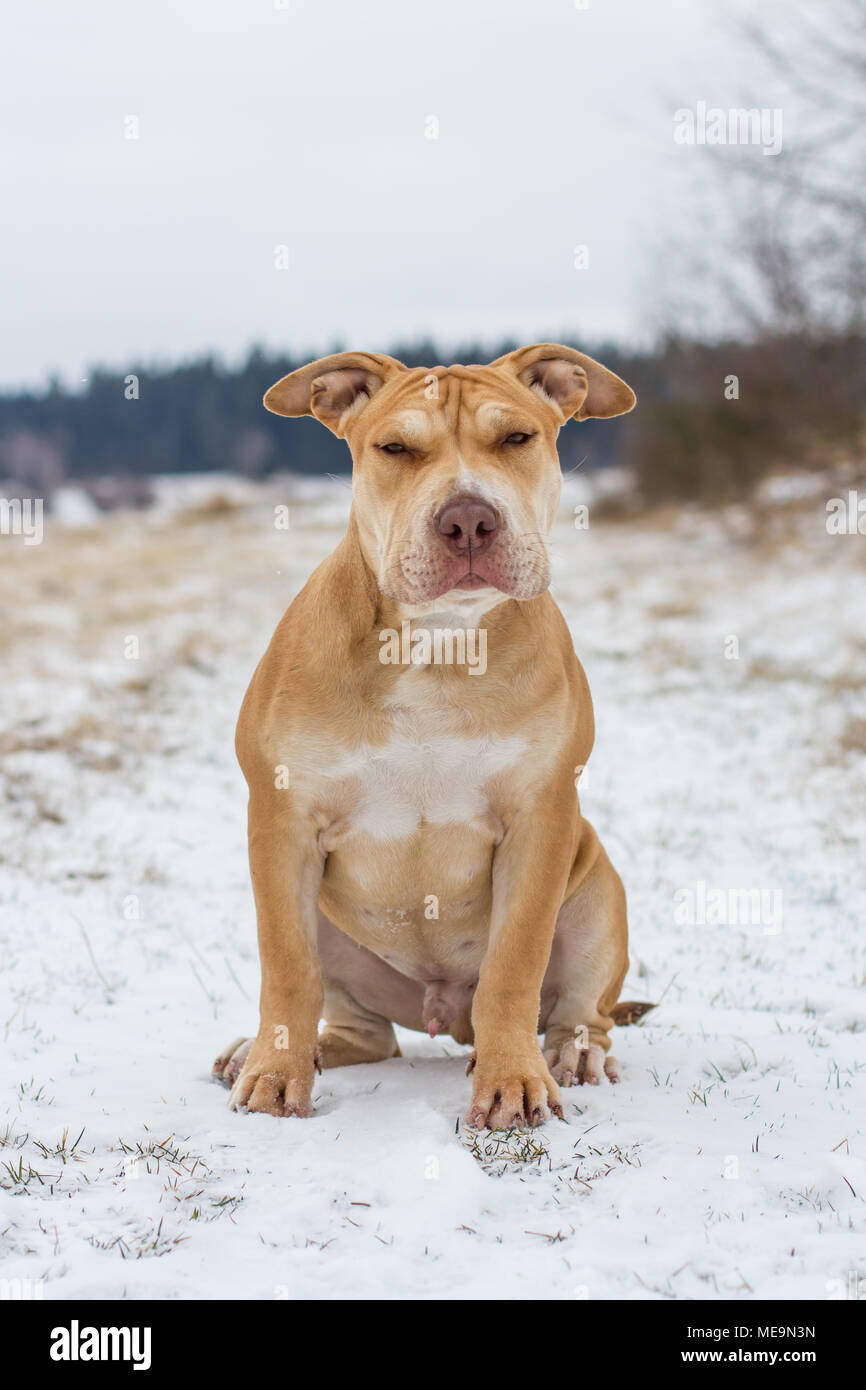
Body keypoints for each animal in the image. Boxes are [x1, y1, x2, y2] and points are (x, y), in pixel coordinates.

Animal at [214, 347, 653, 1128]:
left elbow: (514, 963)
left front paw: (513, 1082)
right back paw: (282, 1051)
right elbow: (288, 965)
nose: (469, 518)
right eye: (395, 449)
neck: (442, 644)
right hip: (335, 930)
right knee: (365, 1031)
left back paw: (571, 1055)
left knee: (581, 1010)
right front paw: (272, 1075)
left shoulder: (540, 821)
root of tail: (445, 1014)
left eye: (516, 438)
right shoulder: (283, 820)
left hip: (598, 891)